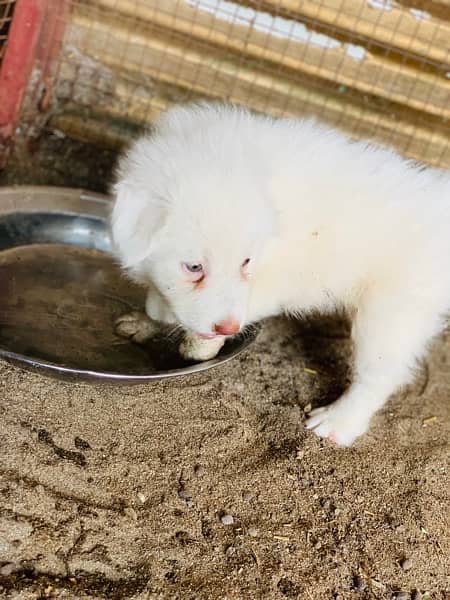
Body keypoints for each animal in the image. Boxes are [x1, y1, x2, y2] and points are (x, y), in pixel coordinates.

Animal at [110, 104, 450, 446]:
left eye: (246, 261)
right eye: (194, 267)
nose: (228, 327)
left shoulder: (269, 283)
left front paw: (197, 347)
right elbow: (164, 303)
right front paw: (145, 321)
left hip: (391, 312)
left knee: (379, 375)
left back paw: (339, 421)